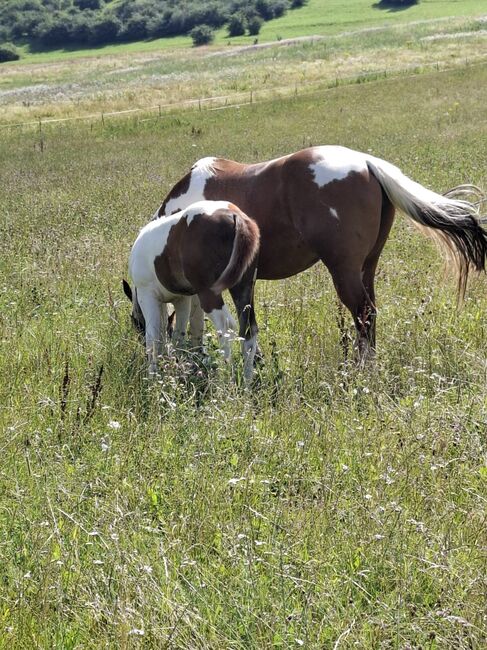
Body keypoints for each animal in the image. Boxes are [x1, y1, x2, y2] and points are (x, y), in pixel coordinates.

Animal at [125, 200, 264, 378]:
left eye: (137, 324)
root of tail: (235, 216)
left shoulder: (147, 295)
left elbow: (153, 336)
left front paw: (153, 376)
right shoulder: (182, 299)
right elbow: (178, 334)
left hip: (210, 294)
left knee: (225, 326)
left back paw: (225, 378)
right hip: (243, 289)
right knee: (248, 331)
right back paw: (246, 382)